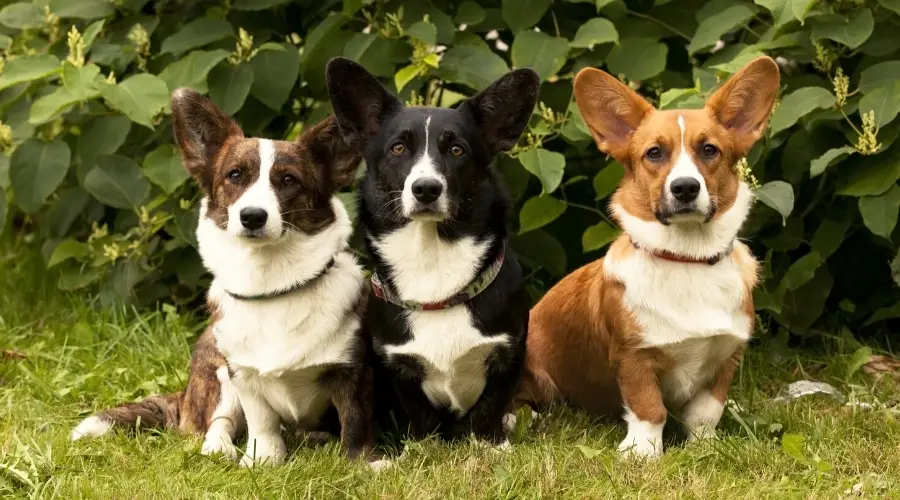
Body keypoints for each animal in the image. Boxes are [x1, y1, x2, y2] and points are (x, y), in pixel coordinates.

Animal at [326, 58, 536, 450]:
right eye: (397, 149)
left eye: (457, 150)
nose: (426, 188)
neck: (432, 258)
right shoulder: (398, 365)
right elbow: (420, 415)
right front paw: (423, 448)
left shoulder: (509, 353)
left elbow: (489, 408)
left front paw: (491, 444)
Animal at [512, 57, 780, 458]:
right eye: (654, 153)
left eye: (709, 150)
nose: (685, 188)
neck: (687, 258)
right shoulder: (634, 358)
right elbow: (649, 408)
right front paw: (642, 453)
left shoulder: (725, 357)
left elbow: (706, 412)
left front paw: (704, 446)